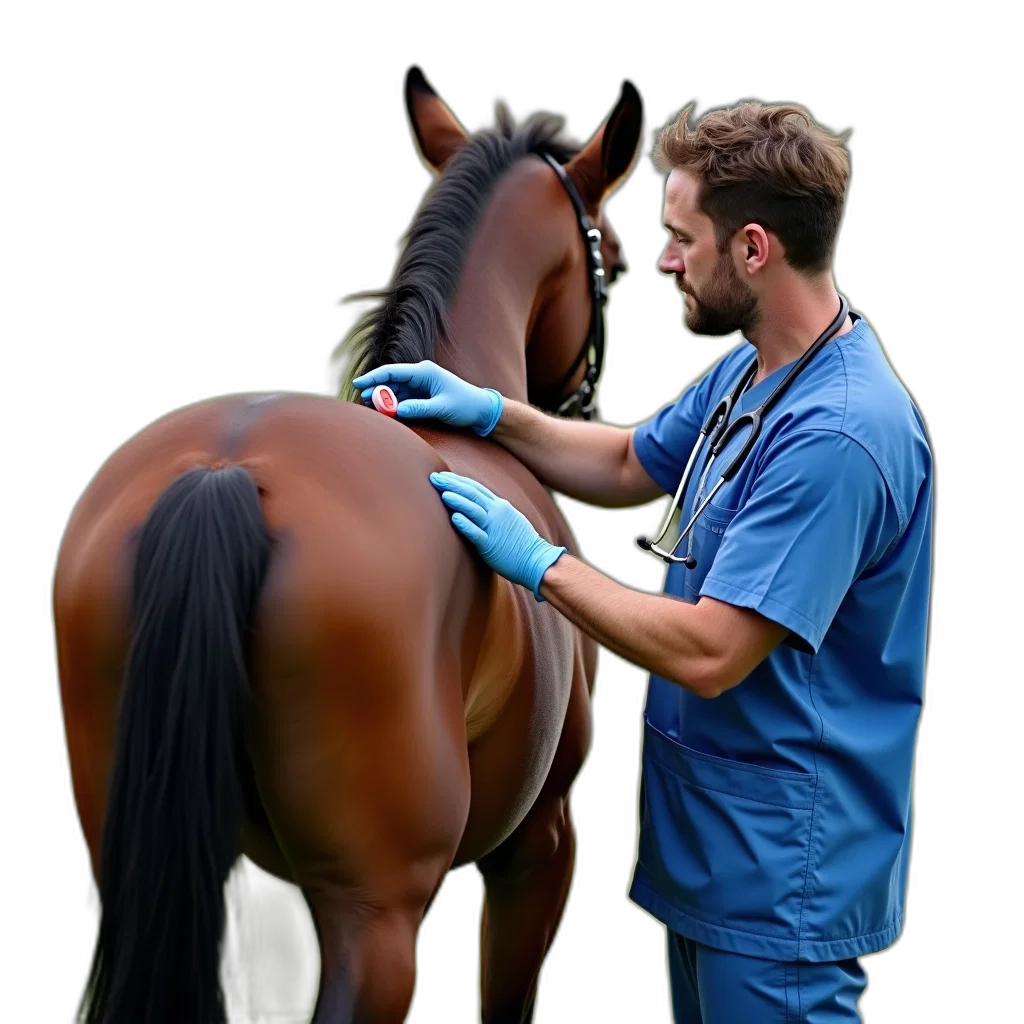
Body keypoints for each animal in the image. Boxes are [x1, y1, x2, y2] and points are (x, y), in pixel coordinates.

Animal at [53, 65, 645, 1023]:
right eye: (617, 261)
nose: (582, 400)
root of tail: (225, 471)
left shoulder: (257, 886)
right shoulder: (539, 848)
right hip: (378, 915)